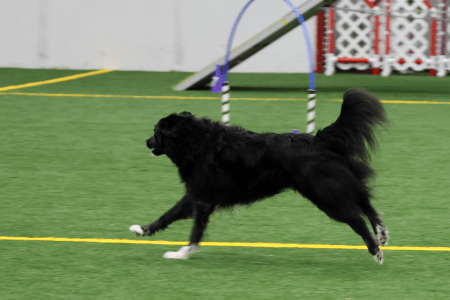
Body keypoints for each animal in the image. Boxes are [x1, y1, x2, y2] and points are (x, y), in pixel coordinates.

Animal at [128, 88, 388, 262]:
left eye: (156, 132)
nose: (146, 141)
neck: (197, 142)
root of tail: (319, 139)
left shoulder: (201, 198)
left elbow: (194, 231)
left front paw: (181, 253)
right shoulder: (196, 195)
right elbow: (167, 216)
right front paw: (142, 230)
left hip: (325, 193)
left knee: (356, 217)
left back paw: (375, 250)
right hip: (337, 185)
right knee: (366, 203)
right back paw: (381, 233)